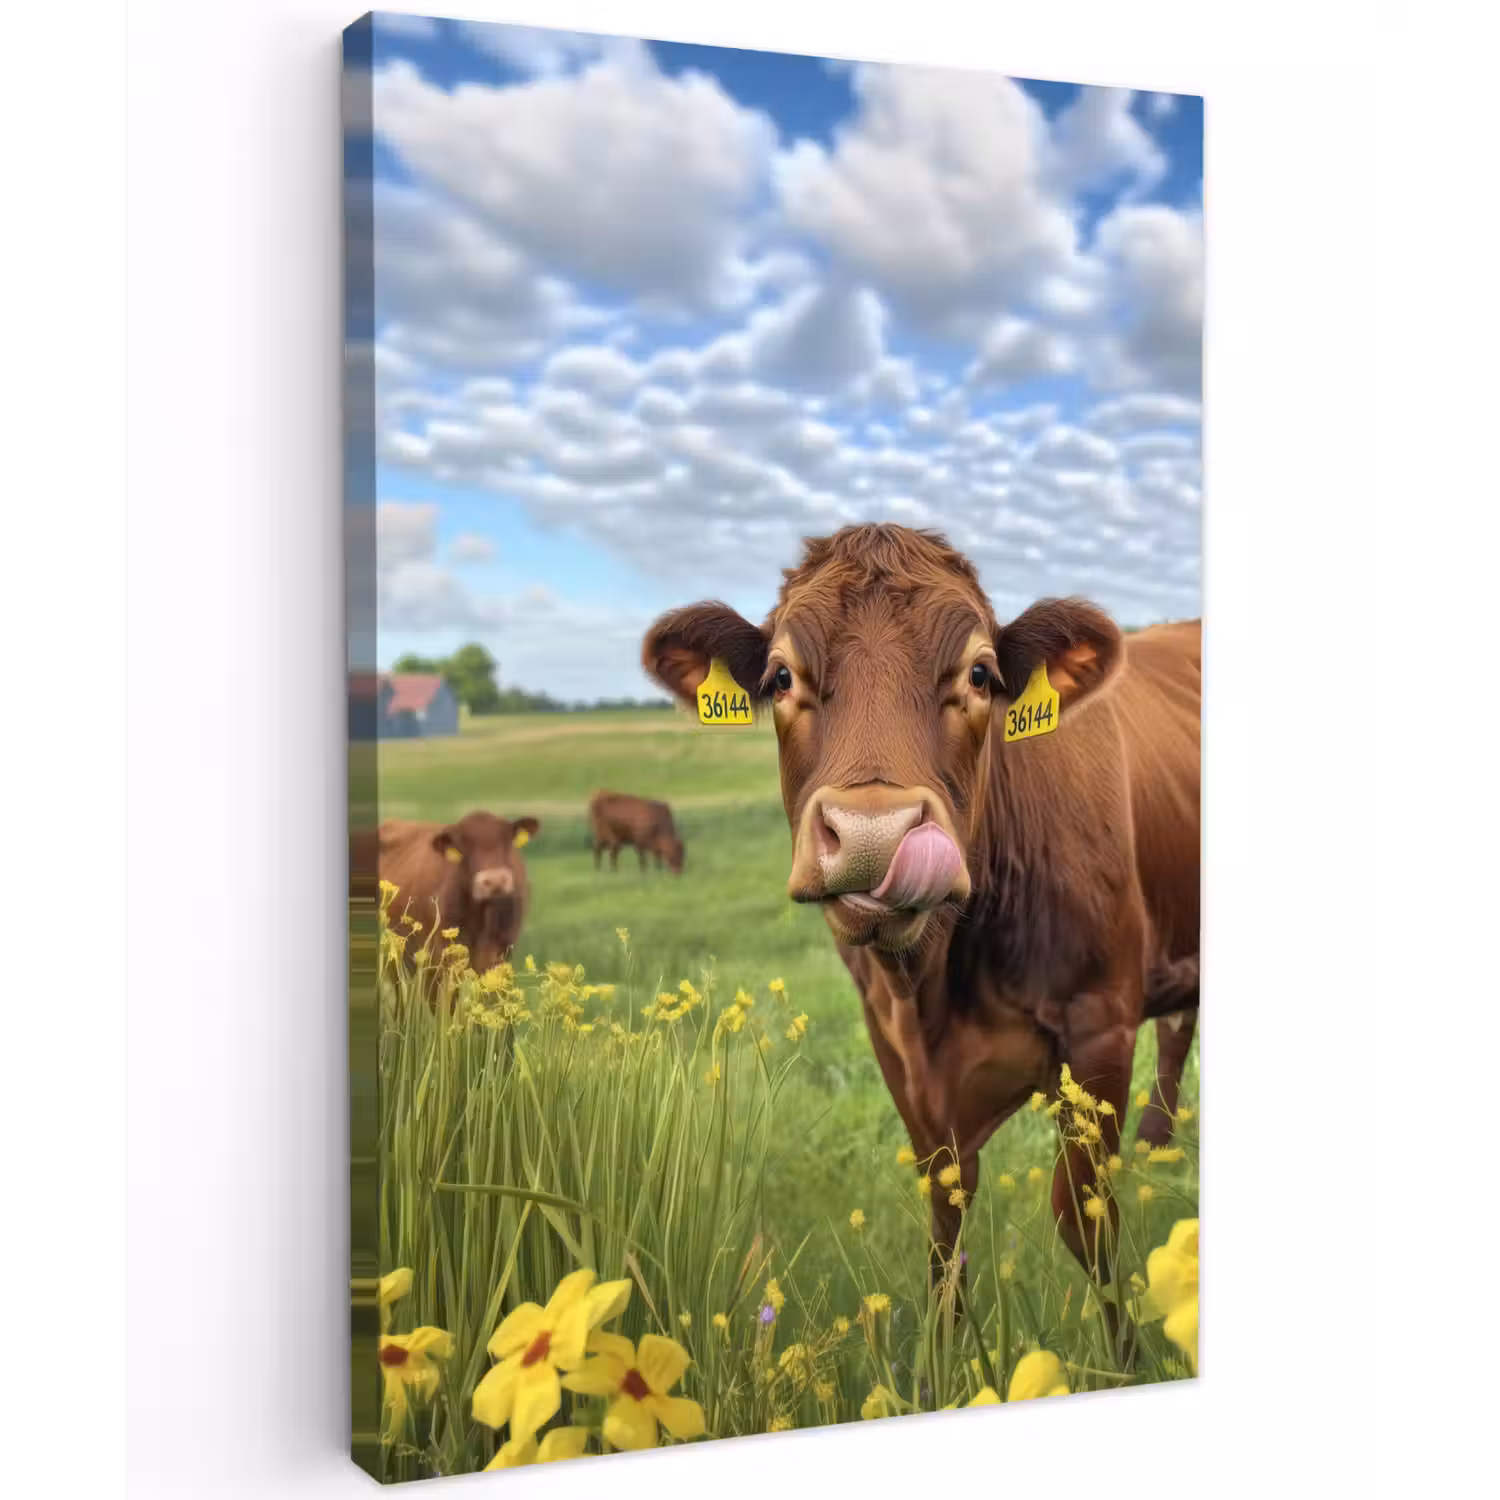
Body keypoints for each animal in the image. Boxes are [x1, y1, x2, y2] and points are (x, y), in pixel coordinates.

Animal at [641, 524, 1199, 1336]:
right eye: (780, 676)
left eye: (982, 673)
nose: (874, 834)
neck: (937, 983)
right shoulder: (894, 1044)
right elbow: (945, 1212)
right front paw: (946, 1348)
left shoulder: (1101, 1023)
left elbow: (1084, 1215)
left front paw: (1123, 1348)